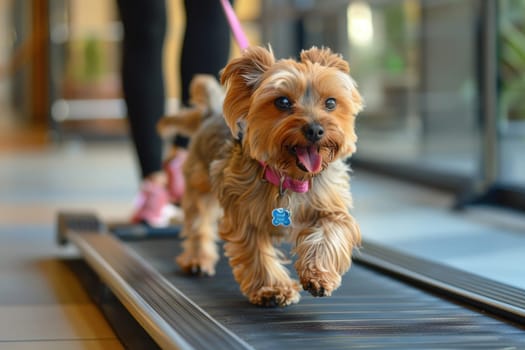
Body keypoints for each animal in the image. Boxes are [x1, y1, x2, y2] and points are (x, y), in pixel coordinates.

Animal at [158, 46, 362, 306]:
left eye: (331, 102)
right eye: (283, 101)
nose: (316, 129)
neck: (289, 178)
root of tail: (210, 114)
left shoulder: (330, 205)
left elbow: (331, 231)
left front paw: (319, 275)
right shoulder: (244, 212)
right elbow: (256, 252)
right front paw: (272, 288)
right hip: (199, 182)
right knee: (198, 222)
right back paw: (198, 259)